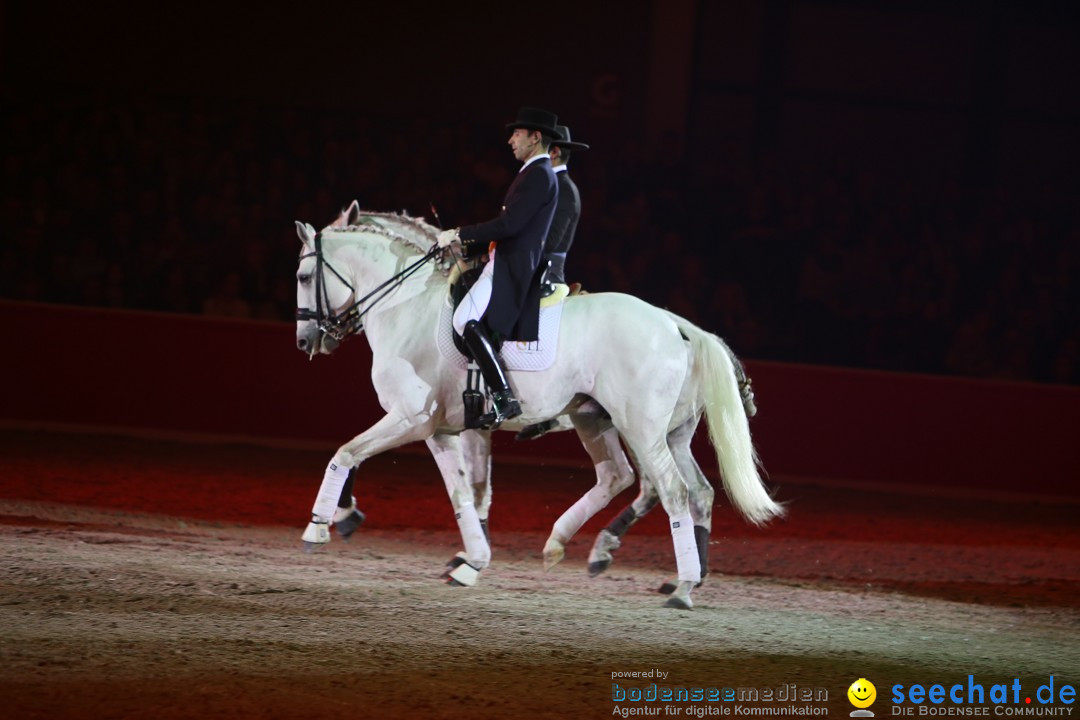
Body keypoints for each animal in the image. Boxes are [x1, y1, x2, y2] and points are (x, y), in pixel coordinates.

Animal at [295, 208, 786, 608]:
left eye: (302, 277)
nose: (307, 341)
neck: (409, 305)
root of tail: (674, 323)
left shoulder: (411, 419)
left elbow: (346, 453)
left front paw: (320, 524)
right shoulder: (445, 429)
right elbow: (464, 492)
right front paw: (470, 560)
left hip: (641, 429)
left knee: (667, 490)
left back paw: (676, 584)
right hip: (635, 426)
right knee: (664, 486)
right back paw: (591, 551)